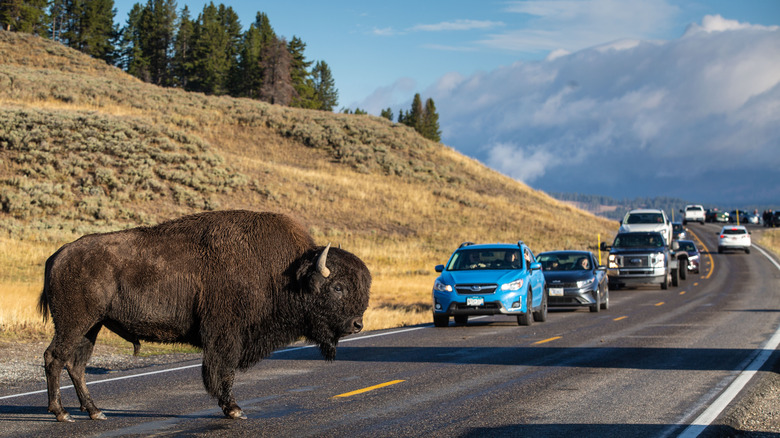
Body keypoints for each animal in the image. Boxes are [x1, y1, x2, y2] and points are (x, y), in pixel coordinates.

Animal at [38, 210, 374, 422]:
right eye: (338, 287)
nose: (357, 324)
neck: (287, 272)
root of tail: (59, 255)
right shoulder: (225, 336)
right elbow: (223, 371)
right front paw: (234, 409)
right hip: (74, 323)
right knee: (55, 357)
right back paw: (61, 413)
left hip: (91, 327)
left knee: (76, 365)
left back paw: (95, 411)